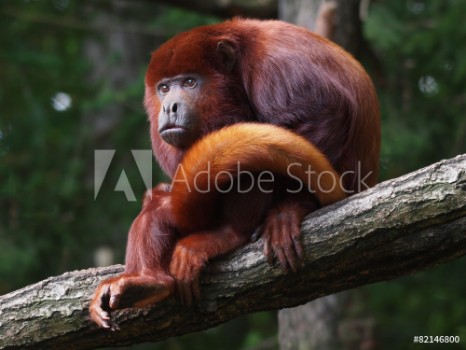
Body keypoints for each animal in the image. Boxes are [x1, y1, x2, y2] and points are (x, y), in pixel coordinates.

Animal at [89, 17, 380, 330]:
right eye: (164, 88)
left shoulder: (276, 65)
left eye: (190, 82)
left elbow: (322, 113)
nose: (169, 107)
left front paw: (289, 208)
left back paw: (231, 232)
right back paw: (147, 281)